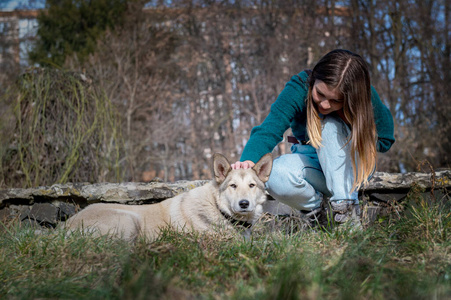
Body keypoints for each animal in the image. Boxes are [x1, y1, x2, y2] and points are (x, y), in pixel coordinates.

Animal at [64, 154, 272, 240]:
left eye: (252, 186)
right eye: (233, 186)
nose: (244, 204)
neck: (217, 207)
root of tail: (64, 227)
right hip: (129, 220)